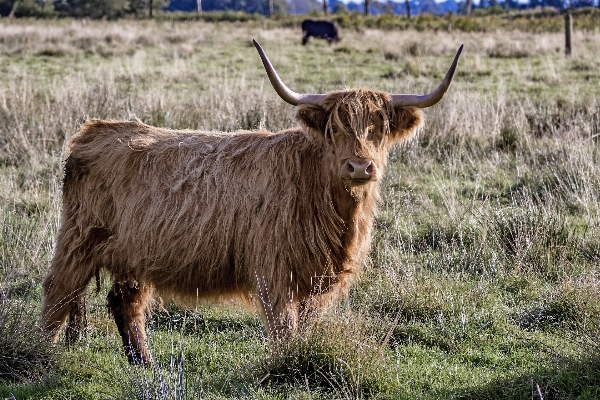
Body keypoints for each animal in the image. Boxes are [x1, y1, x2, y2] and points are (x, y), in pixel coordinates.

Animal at [42, 40, 464, 366]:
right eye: (335, 129)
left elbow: (304, 327)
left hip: (134, 252)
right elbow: (284, 328)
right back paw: (41, 354)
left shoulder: (315, 280)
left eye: (379, 129)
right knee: (58, 293)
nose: (360, 166)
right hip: (78, 239)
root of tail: (94, 130)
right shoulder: (274, 270)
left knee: (124, 302)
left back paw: (145, 364)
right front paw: (287, 364)